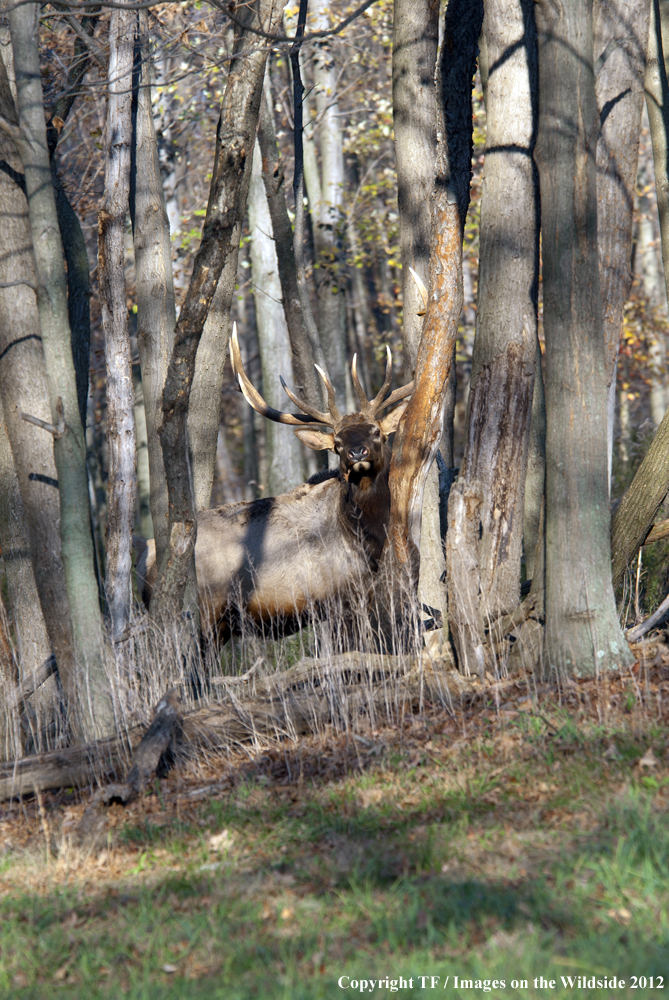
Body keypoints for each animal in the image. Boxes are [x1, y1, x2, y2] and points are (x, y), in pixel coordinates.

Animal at [137, 324, 412, 644]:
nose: (358, 453)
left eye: (376, 431)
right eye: (338, 443)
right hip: (204, 615)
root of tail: (143, 556)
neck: (367, 539)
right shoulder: (335, 599)